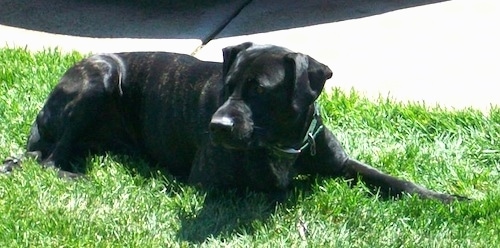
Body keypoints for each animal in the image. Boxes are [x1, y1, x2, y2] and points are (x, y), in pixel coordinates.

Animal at [1, 41, 466, 202]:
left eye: (261, 90)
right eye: (227, 86)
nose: (217, 126)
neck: (286, 141)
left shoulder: (341, 163)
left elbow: (390, 179)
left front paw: (445, 198)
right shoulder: (212, 182)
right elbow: (274, 189)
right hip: (97, 80)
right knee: (49, 159)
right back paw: (76, 175)